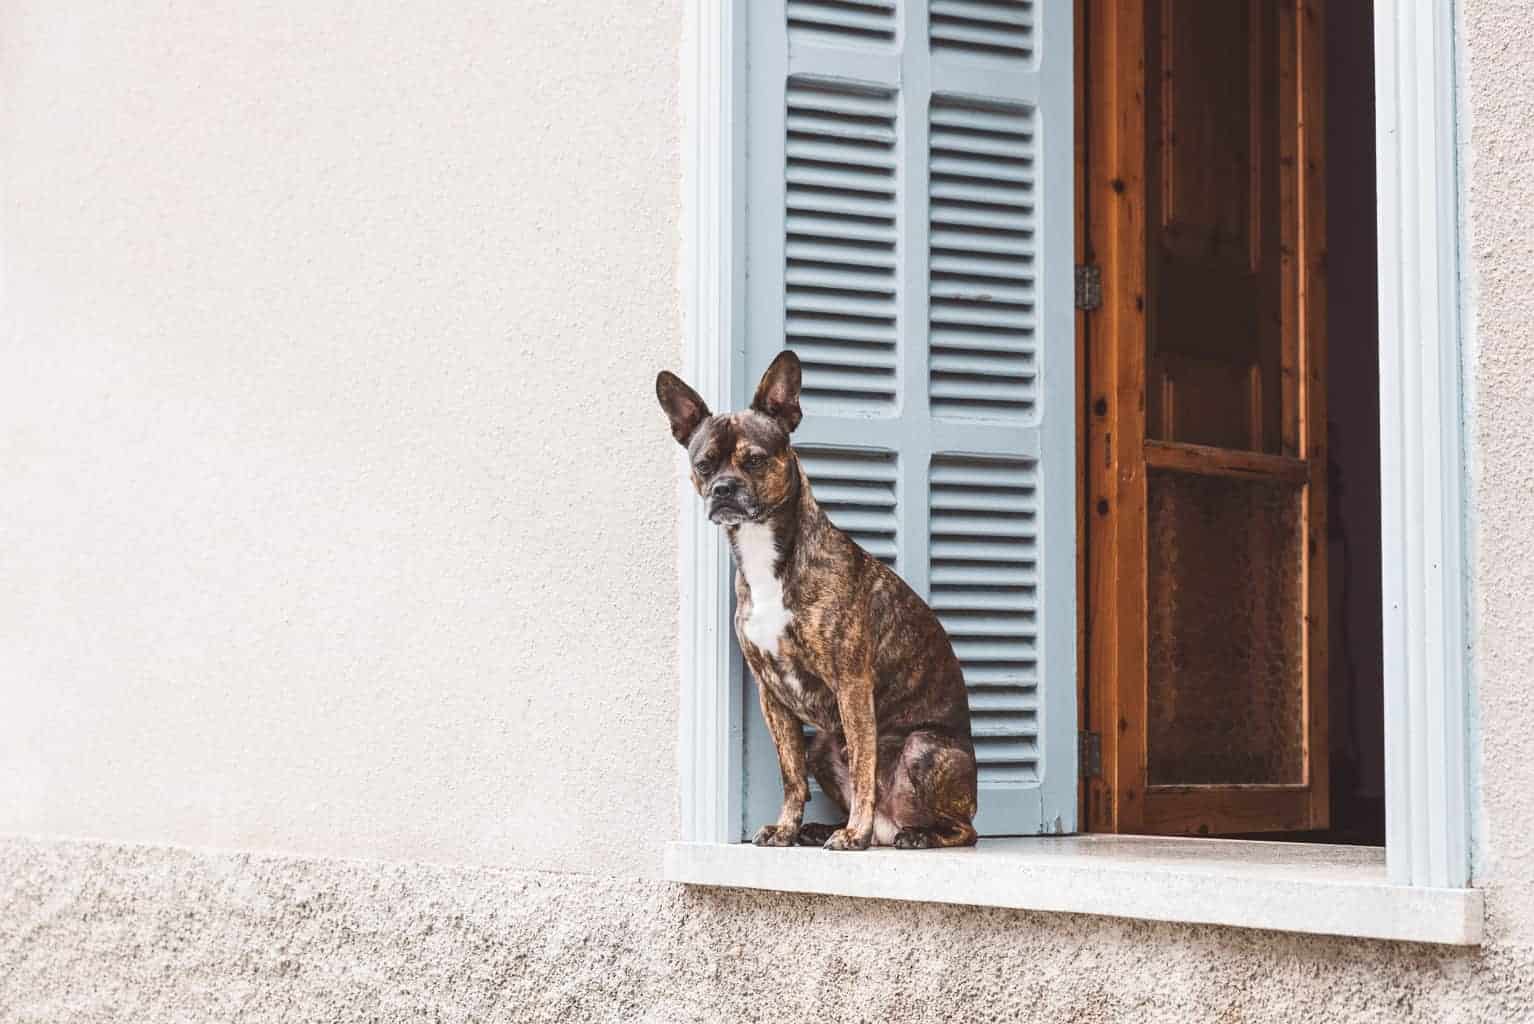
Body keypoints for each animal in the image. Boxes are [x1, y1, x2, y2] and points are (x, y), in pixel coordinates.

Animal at [653, 349, 975, 846]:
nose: (723, 489)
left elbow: (862, 765)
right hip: (823, 746)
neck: (767, 555)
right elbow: (791, 774)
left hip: (924, 748)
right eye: (704, 465)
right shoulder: (772, 695)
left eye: (755, 460)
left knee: (964, 828)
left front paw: (852, 834)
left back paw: (908, 834)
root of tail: (892, 822)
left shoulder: (852, 684)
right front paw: (786, 828)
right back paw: (824, 828)